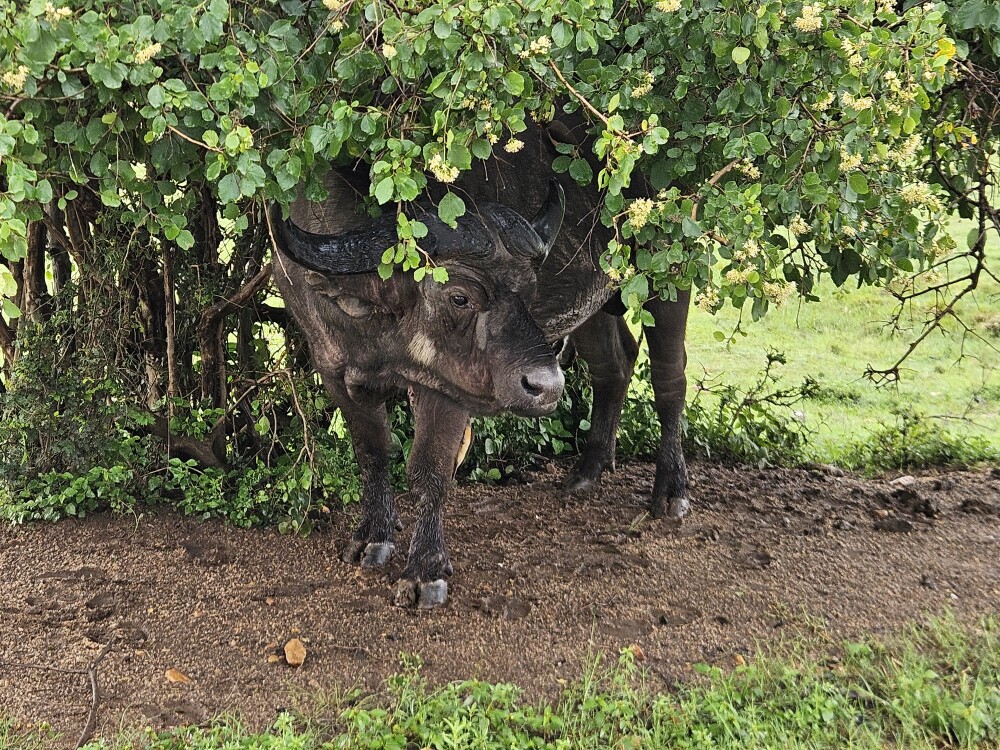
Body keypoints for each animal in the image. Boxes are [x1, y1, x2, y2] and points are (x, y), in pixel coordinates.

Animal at [271, 116, 689, 608]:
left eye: (529, 290)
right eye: (460, 297)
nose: (546, 386)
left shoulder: (448, 386)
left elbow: (429, 469)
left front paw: (425, 570)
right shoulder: (334, 370)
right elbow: (372, 452)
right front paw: (373, 535)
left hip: (673, 281)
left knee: (669, 380)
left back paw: (672, 492)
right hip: (595, 305)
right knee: (615, 365)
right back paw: (588, 470)